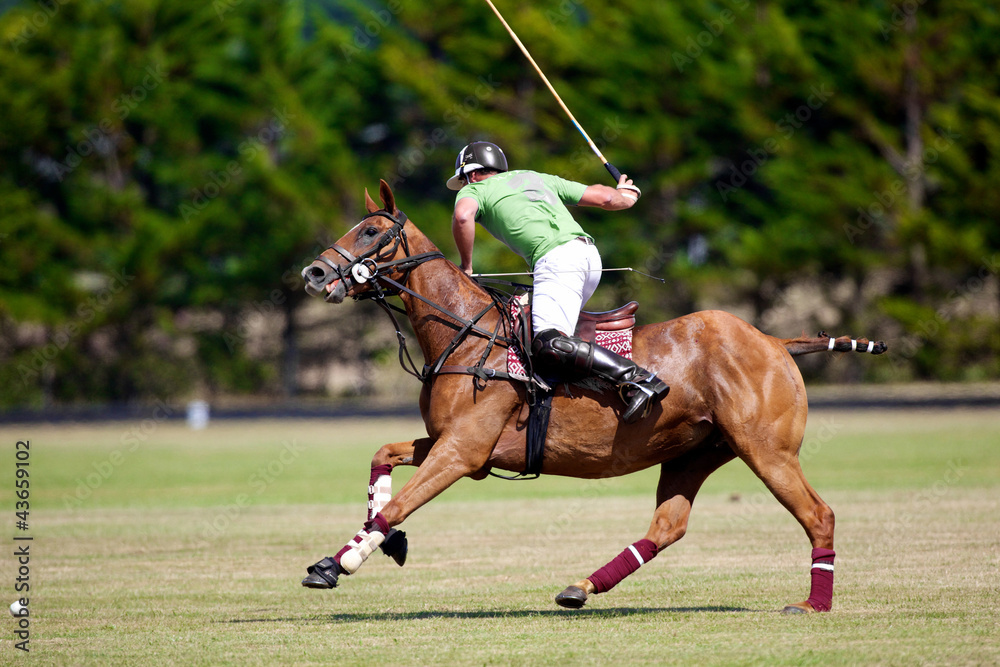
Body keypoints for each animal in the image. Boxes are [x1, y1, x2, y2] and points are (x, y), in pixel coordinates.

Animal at [300, 180, 888, 612]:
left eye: (371, 229)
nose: (315, 271)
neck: (466, 332)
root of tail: (774, 340)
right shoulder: (456, 444)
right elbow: (383, 458)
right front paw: (378, 545)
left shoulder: (463, 452)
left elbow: (399, 503)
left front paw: (336, 564)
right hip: (695, 451)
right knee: (669, 525)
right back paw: (580, 588)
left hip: (767, 449)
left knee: (819, 515)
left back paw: (813, 605)